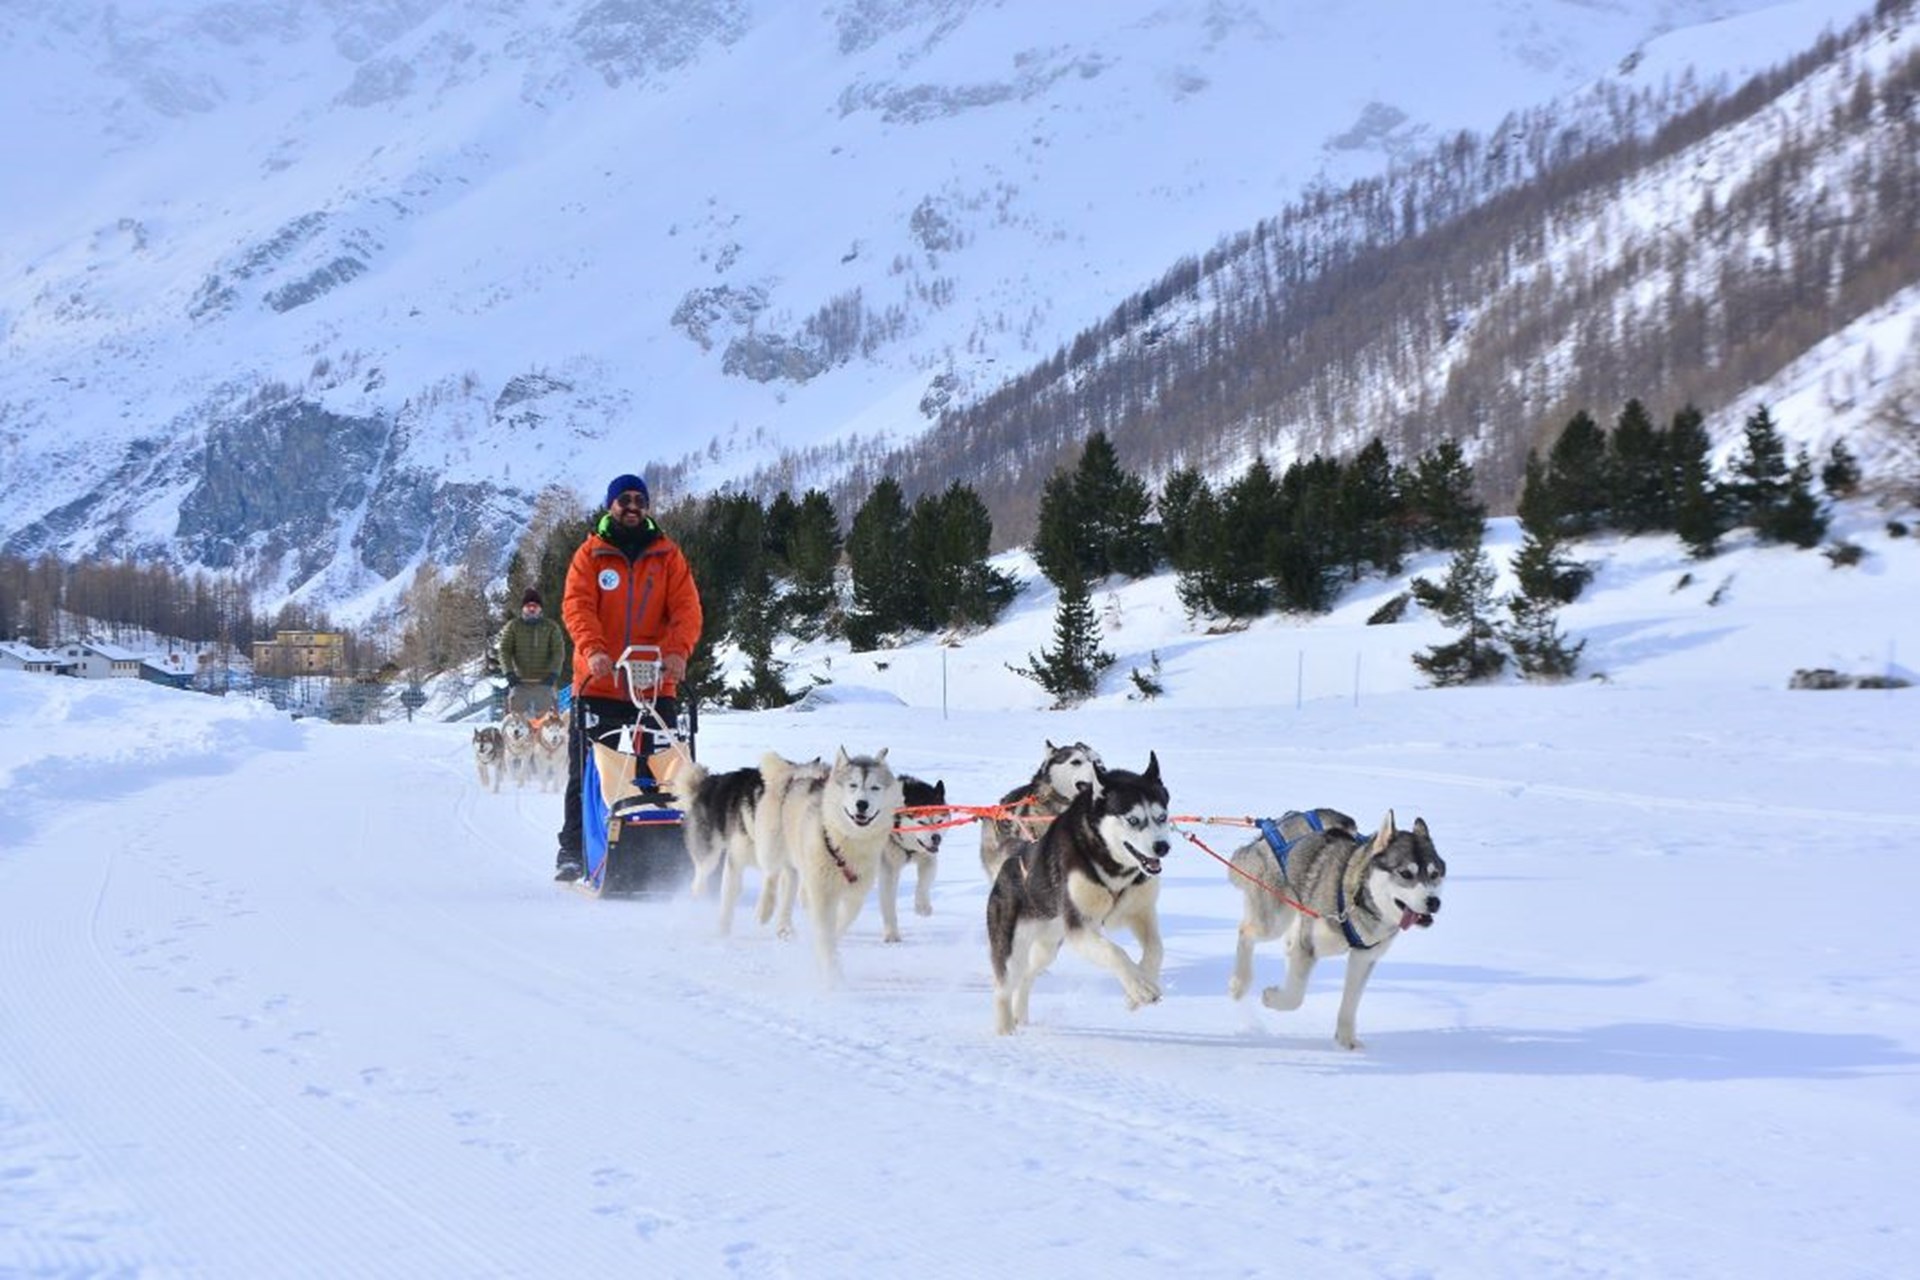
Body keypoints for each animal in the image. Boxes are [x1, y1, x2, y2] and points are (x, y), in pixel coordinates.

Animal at [761, 748, 903, 983]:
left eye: (875, 787)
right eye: (852, 785)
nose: (862, 804)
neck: (847, 845)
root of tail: (799, 772)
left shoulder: (855, 895)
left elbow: (839, 923)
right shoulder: (822, 893)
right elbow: (824, 933)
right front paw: (831, 974)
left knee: (790, 883)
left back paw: (784, 926)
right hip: (773, 849)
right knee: (772, 876)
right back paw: (765, 910)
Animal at [876, 776, 945, 943]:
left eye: (939, 821)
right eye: (922, 822)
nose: (936, 838)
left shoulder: (929, 858)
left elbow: (924, 883)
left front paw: (922, 906)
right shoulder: (888, 870)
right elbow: (888, 903)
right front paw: (891, 934)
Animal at [986, 752, 1169, 1035]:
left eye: (1162, 817)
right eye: (1133, 820)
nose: (1163, 847)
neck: (1111, 865)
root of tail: (1009, 863)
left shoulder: (1141, 913)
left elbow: (1156, 949)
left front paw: (1138, 989)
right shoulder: (1079, 927)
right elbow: (1114, 952)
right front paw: (1139, 988)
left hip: (1048, 947)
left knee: (1027, 975)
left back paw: (1020, 1016)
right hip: (1010, 947)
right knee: (1003, 988)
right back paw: (1005, 1032)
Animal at [1227, 810, 1445, 1050]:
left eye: (1434, 874)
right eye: (1405, 873)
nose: (1434, 902)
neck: (1357, 900)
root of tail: (1280, 821)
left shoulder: (1364, 958)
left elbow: (1350, 1002)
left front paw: (1346, 1039)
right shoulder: (1309, 945)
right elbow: (1295, 996)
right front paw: (1272, 998)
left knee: (1287, 944)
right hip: (1273, 921)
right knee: (1245, 931)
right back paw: (1239, 984)